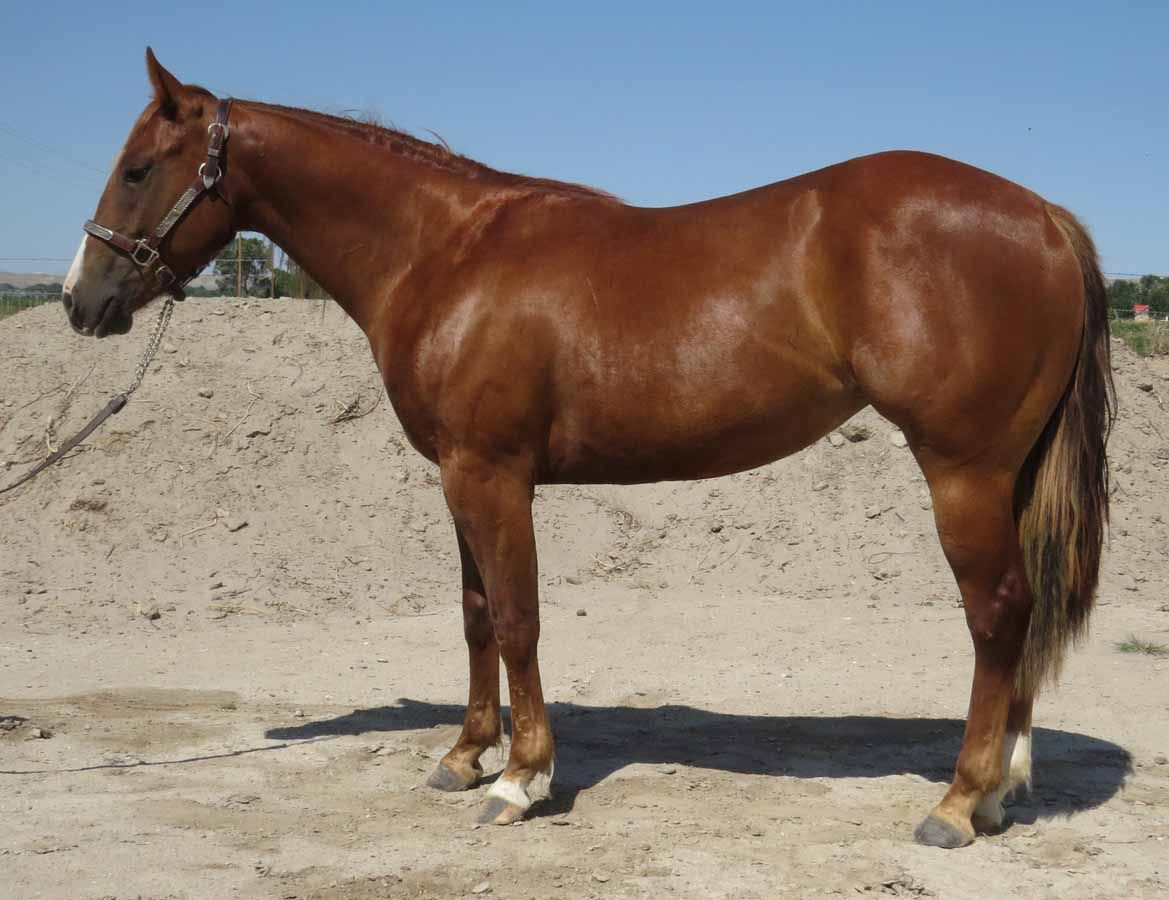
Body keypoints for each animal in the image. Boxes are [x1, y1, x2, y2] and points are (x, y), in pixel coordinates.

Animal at [61, 48, 1114, 849]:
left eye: (140, 167)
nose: (81, 301)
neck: (444, 253)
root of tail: (1040, 215)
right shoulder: (457, 478)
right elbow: (475, 616)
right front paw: (462, 757)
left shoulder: (493, 476)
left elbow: (518, 619)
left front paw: (520, 780)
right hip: (1005, 475)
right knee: (1018, 616)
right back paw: (1002, 786)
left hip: (962, 472)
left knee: (996, 614)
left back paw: (958, 802)